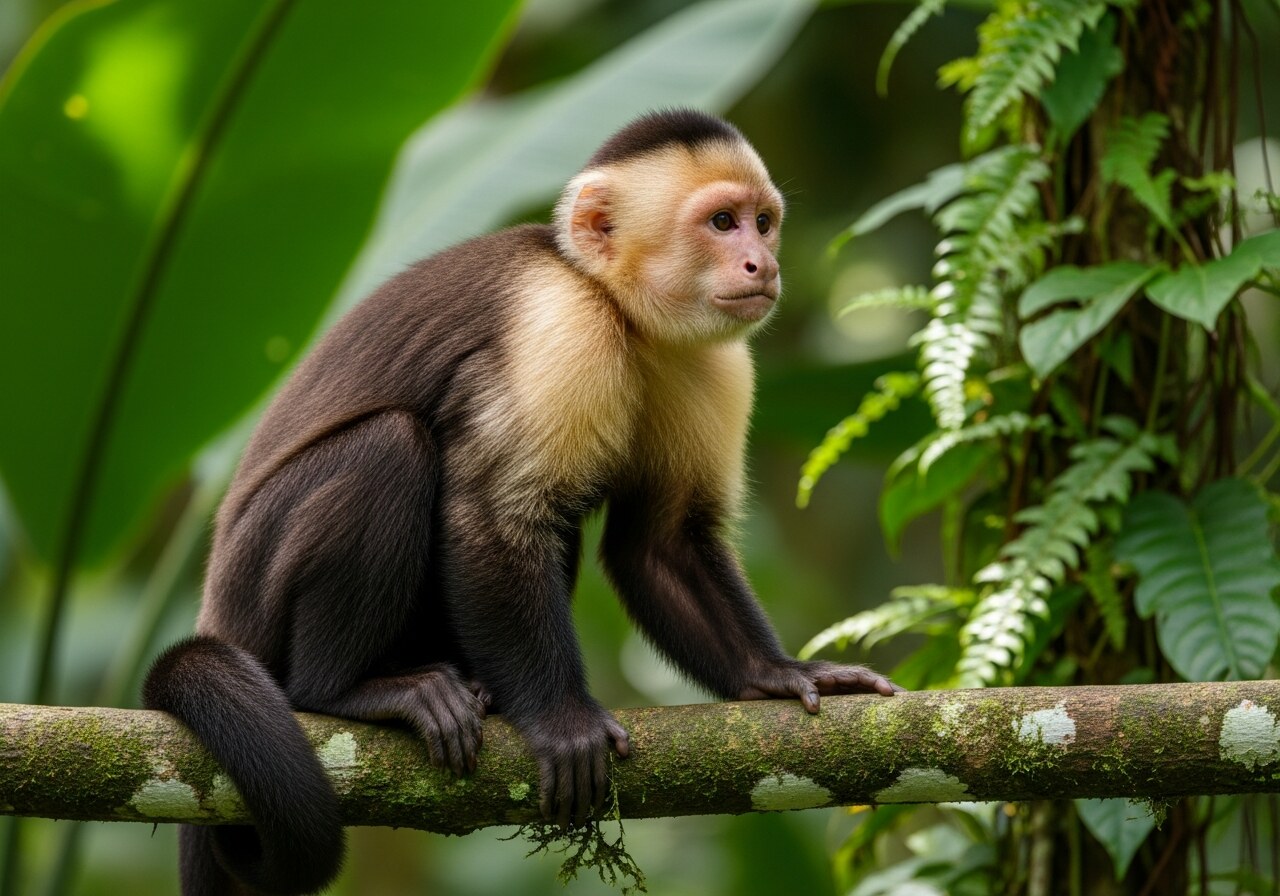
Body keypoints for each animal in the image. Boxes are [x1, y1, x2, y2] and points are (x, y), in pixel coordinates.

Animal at [142, 108, 898, 896]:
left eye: (763, 223)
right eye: (722, 223)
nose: (762, 264)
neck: (616, 307)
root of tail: (218, 608)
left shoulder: (710, 362)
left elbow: (661, 543)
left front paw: (774, 675)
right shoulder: (557, 329)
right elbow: (492, 517)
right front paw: (562, 721)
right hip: (257, 588)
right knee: (392, 447)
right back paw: (343, 691)